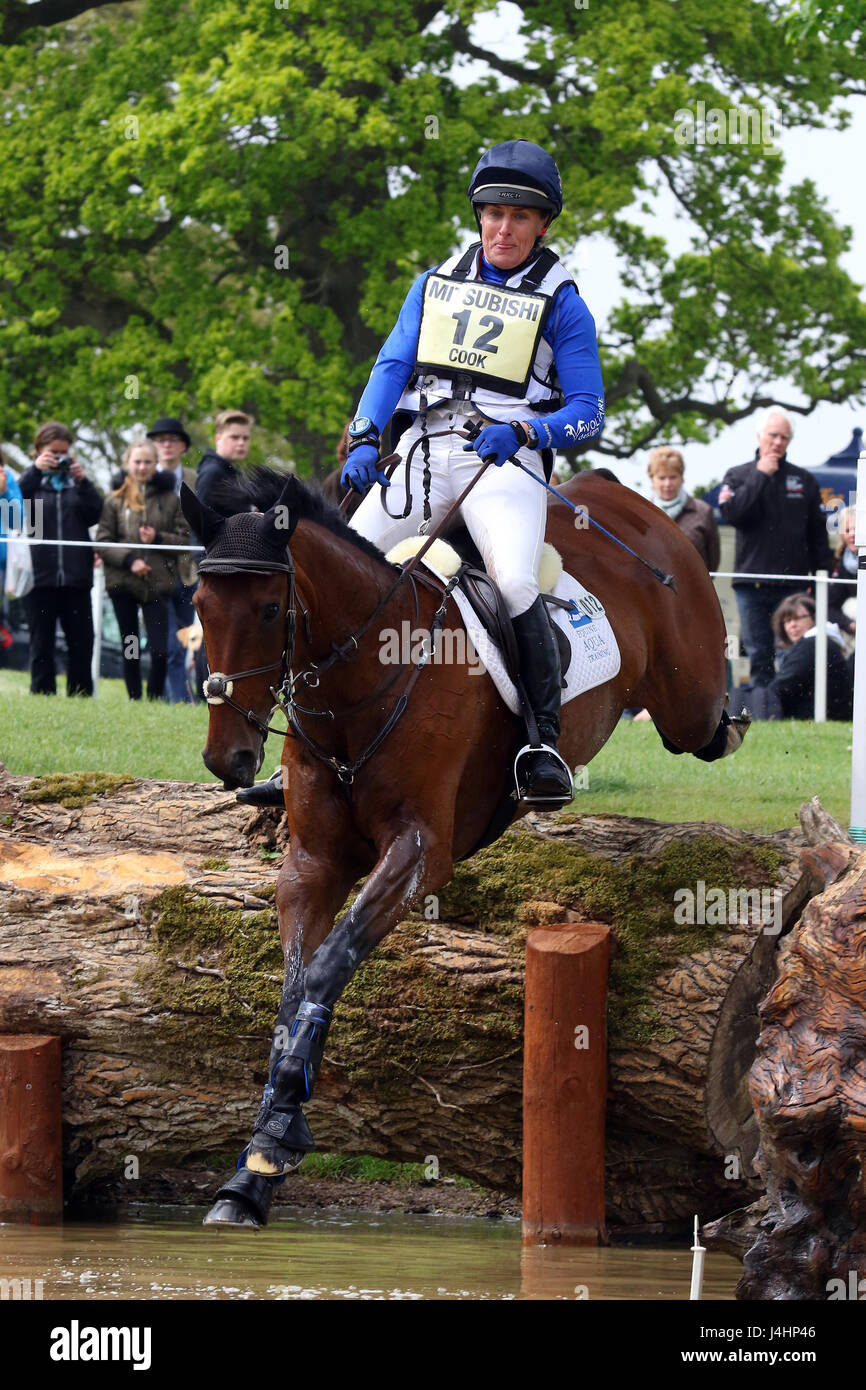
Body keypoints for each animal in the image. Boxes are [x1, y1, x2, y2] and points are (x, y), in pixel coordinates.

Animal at [180, 469, 745, 1228]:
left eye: (271, 610)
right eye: (200, 605)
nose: (229, 758)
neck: (364, 676)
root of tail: (617, 493)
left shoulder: (420, 851)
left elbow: (328, 969)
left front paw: (277, 1141)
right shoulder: (312, 865)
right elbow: (294, 987)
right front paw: (255, 1166)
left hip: (688, 699)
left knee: (711, 726)